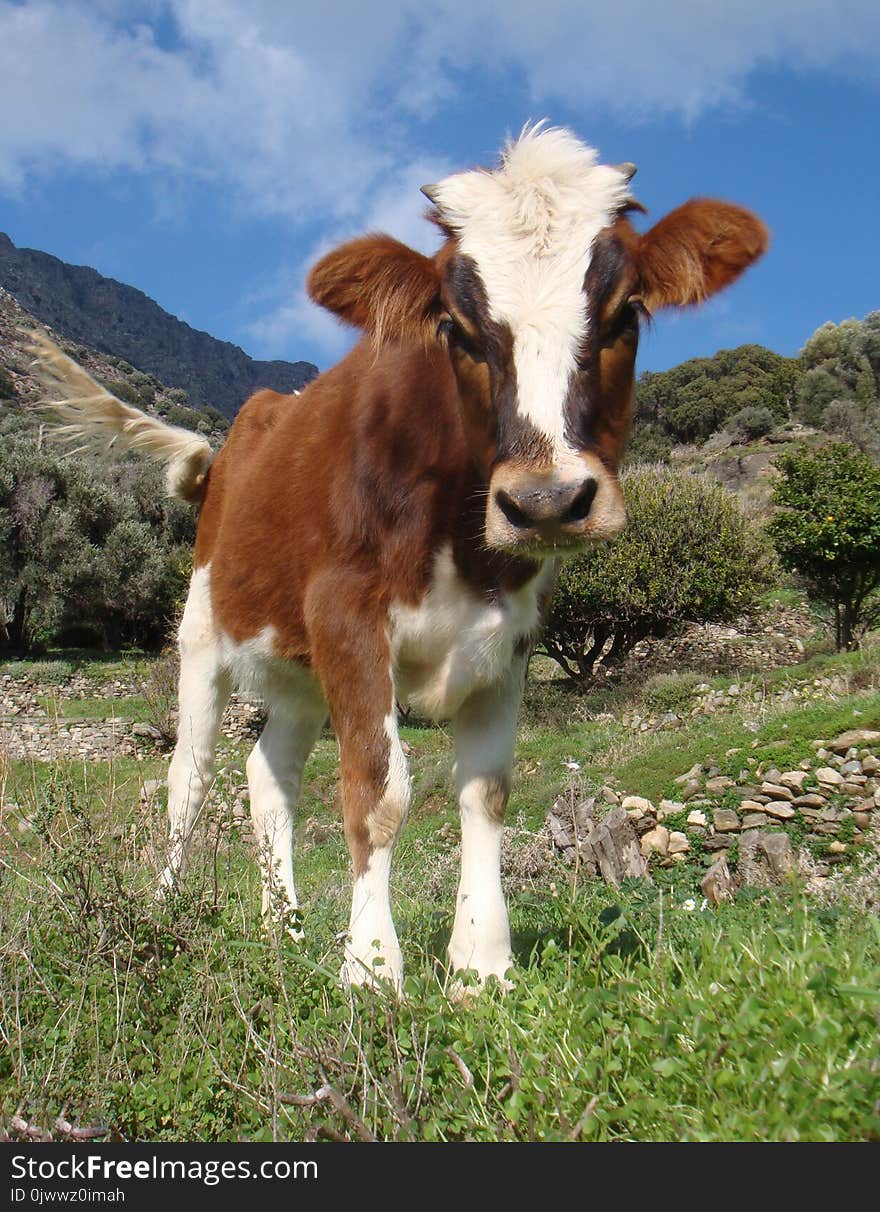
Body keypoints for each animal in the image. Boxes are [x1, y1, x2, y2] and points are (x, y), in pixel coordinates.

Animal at [34, 125, 770, 993]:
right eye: (456, 328)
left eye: (626, 313)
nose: (547, 500)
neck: (460, 542)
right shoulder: (347, 616)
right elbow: (377, 791)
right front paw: (372, 968)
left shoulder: (510, 636)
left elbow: (485, 793)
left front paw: (482, 966)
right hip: (204, 631)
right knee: (191, 776)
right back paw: (164, 912)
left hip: (297, 667)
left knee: (268, 776)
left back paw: (282, 932)